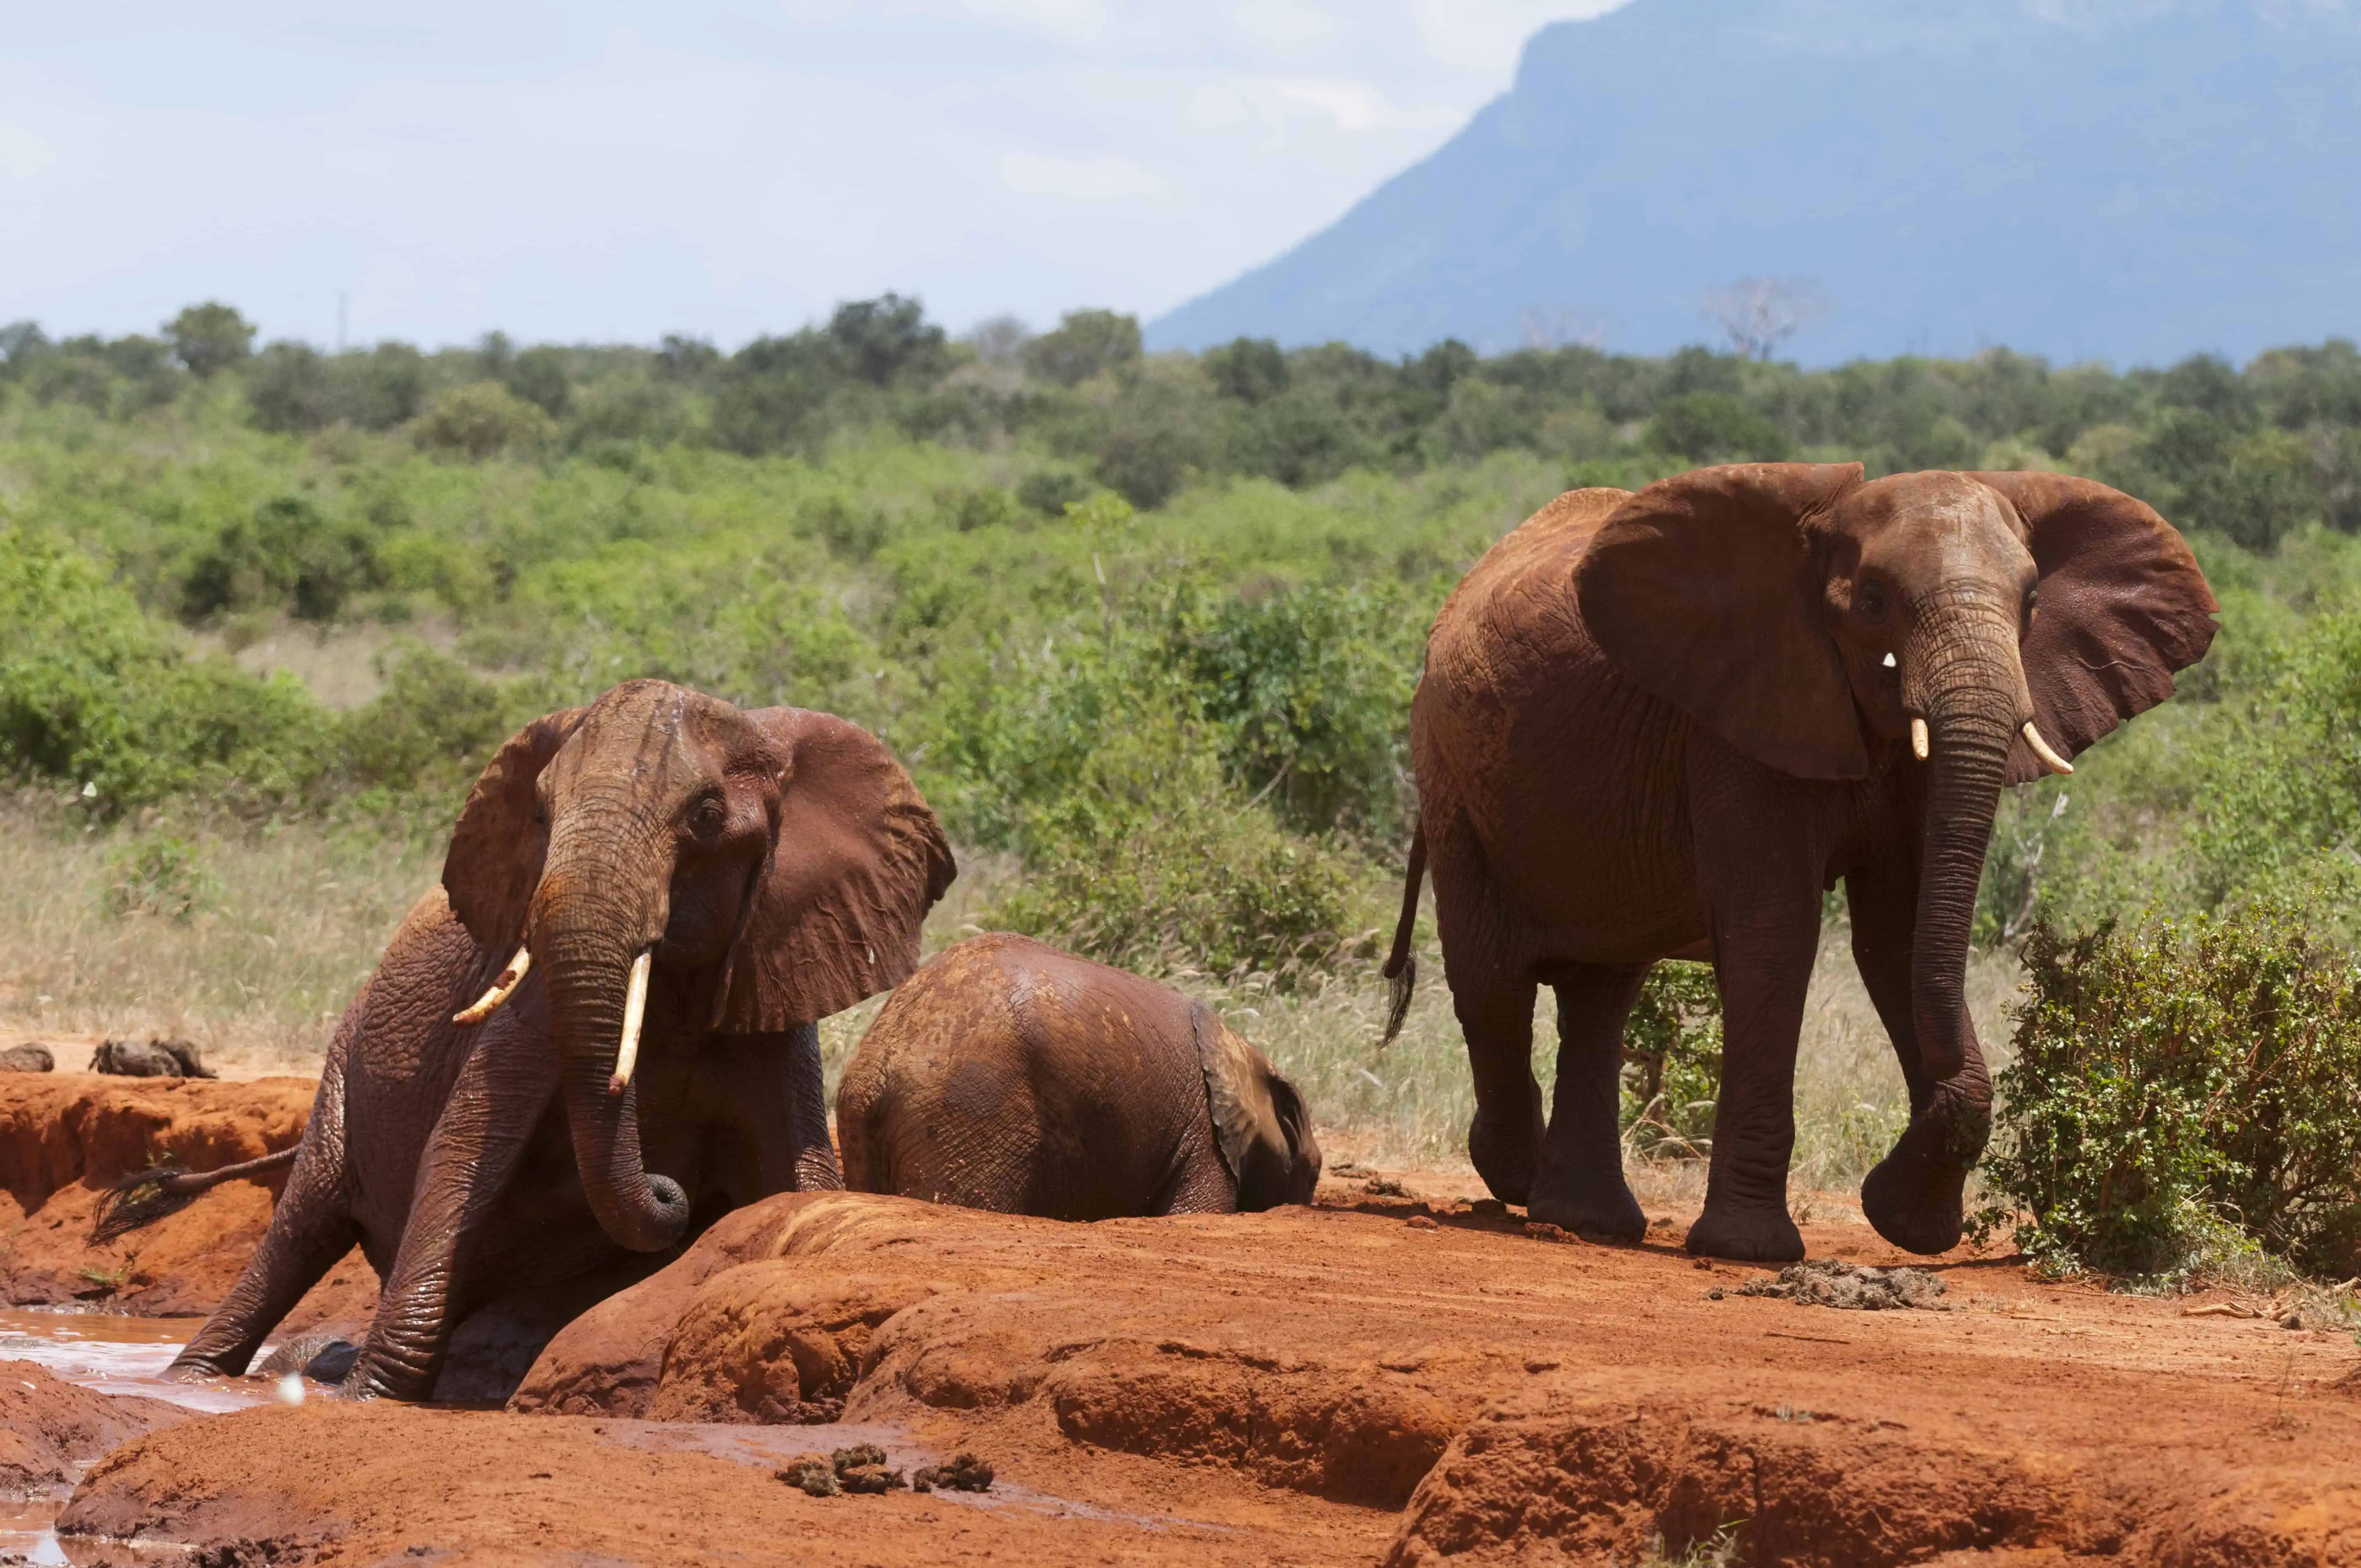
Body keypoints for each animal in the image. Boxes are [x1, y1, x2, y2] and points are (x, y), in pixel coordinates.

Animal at [161, 679, 955, 1399]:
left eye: (705, 816)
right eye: (541, 813)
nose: (671, 1187)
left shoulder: (773, 983)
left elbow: (798, 1177)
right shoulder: (529, 1004)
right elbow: (460, 1152)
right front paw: (367, 1396)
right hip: (342, 1064)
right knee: (302, 1226)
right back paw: (191, 1380)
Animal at [1380, 465, 2215, 1262]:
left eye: (2033, 600)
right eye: (1872, 600)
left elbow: (1899, 934)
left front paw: (1907, 1221)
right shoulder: (1739, 716)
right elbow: (1775, 929)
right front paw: (1750, 1248)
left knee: (1601, 993)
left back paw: (1587, 1218)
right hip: (1451, 777)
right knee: (1495, 984)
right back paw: (1515, 1175)